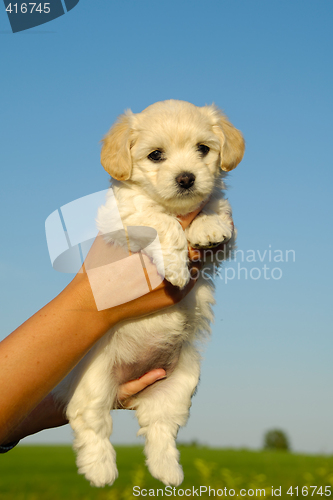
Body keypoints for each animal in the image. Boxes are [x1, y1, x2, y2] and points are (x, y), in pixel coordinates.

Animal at [52, 99, 244, 486]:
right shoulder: (126, 217)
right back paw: (100, 471)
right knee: (90, 421)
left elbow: (214, 207)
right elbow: (161, 221)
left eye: (203, 149)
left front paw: (208, 225)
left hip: (182, 381)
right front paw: (175, 266)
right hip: (93, 379)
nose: (186, 178)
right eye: (156, 155)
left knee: (159, 429)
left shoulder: (224, 241)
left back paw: (168, 471)